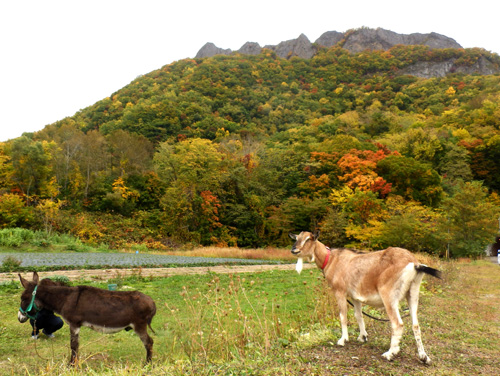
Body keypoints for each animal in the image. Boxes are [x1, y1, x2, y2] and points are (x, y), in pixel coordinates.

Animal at [290, 231, 442, 362]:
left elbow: (343, 316)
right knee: (415, 324)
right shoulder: (355, 296)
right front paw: (362, 337)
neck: (331, 260)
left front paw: (343, 340)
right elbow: (358, 315)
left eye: (308, 239)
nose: (294, 250)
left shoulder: (340, 292)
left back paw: (390, 353)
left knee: (398, 324)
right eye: (296, 238)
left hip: (389, 295)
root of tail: (415, 264)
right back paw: (424, 357)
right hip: (413, 292)